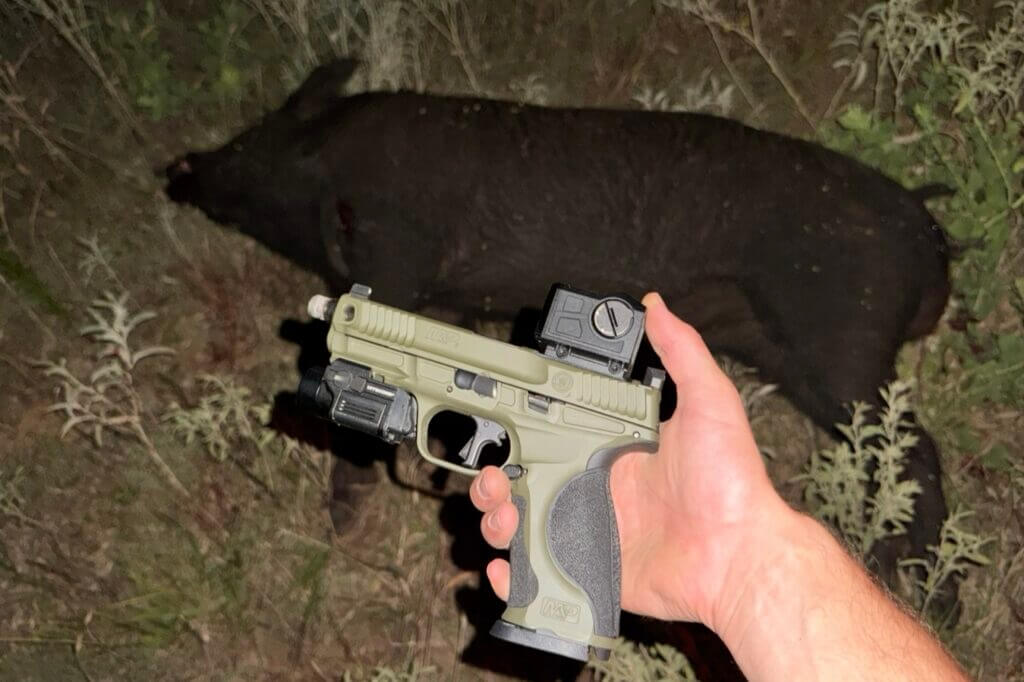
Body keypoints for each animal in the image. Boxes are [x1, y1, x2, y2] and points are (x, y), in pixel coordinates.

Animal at [165, 59, 955, 618]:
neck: (332, 173)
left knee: (917, 447)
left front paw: (342, 525)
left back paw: (922, 591)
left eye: (254, 137)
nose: (179, 165)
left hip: (843, 337)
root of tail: (928, 234)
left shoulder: (396, 255)